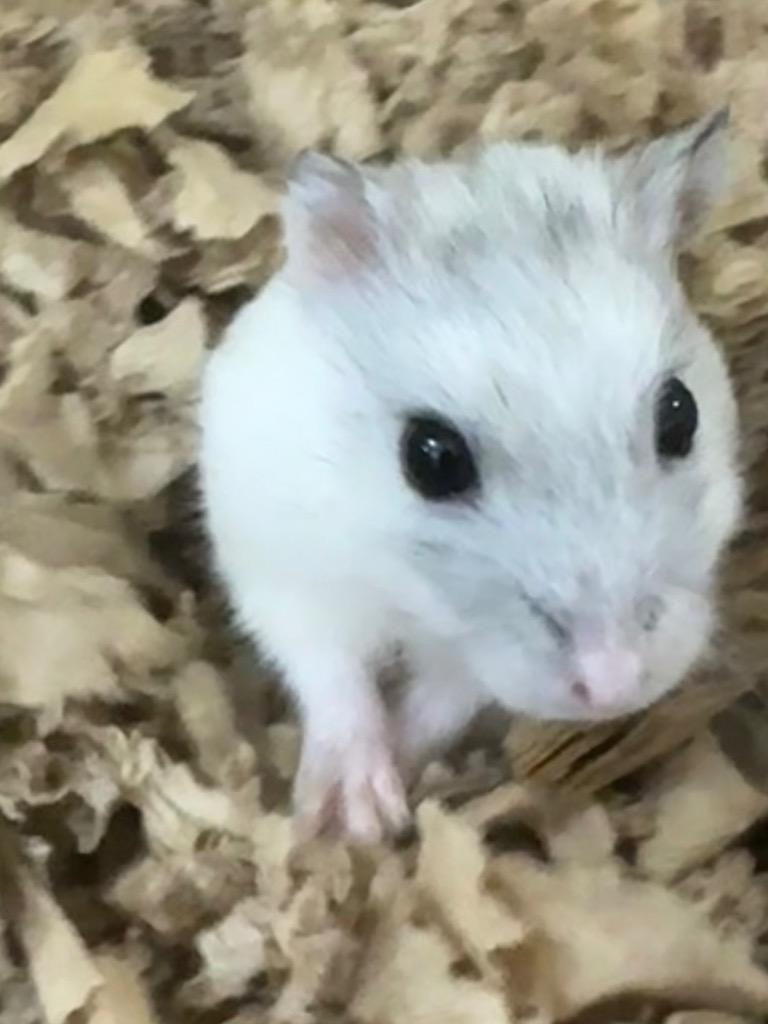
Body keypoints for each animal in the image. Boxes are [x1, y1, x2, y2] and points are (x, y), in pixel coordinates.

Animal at [199, 110, 743, 842]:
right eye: (430, 458)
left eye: (680, 415)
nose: (614, 685)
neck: (411, 598)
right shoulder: (285, 572)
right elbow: (333, 676)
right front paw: (356, 817)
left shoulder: (464, 670)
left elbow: (442, 699)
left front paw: (407, 777)